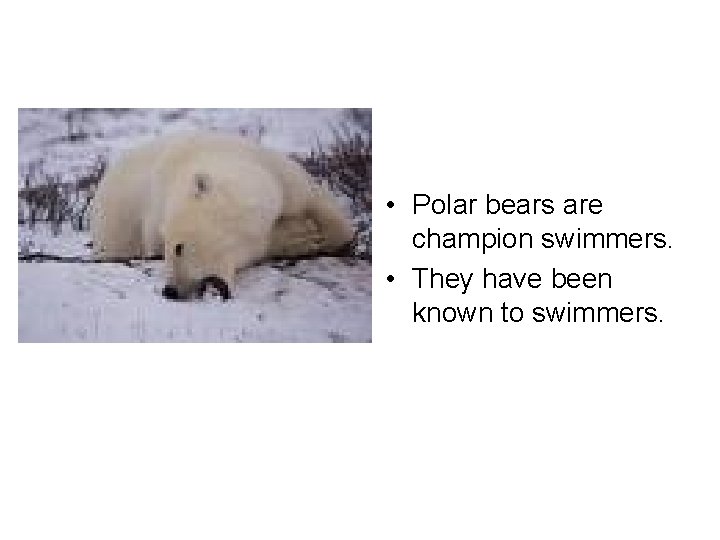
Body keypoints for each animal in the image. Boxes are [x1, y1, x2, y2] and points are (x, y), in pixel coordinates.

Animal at [90, 132, 355, 300]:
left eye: (178, 247)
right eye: (164, 252)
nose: (171, 291)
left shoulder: (280, 176)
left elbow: (321, 205)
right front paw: (300, 236)